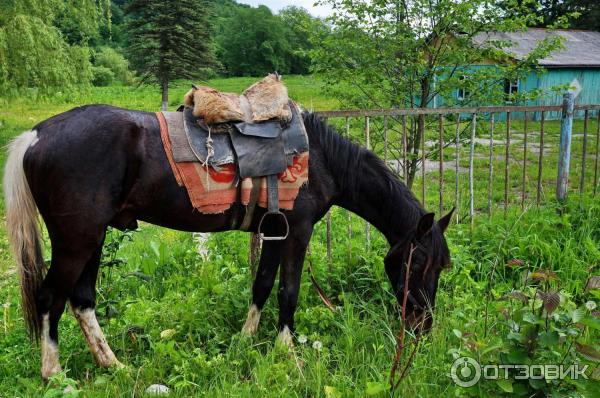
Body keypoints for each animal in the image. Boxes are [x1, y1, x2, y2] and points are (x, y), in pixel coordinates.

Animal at [2, 104, 452, 378]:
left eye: (441, 267)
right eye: (420, 262)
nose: (424, 326)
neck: (320, 159)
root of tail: (35, 135)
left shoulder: (274, 232)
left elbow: (262, 285)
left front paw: (246, 341)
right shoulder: (298, 231)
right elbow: (289, 291)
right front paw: (287, 352)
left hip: (92, 239)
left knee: (81, 300)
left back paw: (113, 365)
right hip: (77, 241)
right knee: (50, 299)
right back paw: (54, 373)